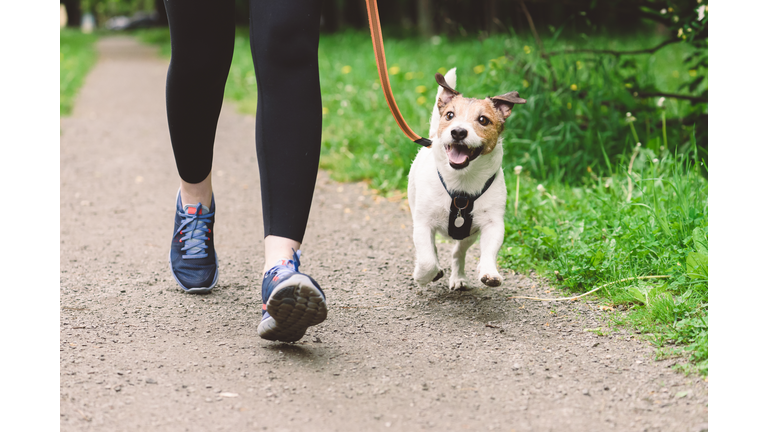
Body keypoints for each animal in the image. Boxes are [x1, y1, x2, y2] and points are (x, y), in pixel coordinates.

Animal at [408, 68, 528, 290]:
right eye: (450, 115)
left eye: (483, 120)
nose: (458, 131)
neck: (461, 183)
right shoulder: (422, 223)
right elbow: (427, 259)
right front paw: (423, 275)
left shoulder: (493, 223)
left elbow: (489, 250)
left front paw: (489, 272)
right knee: (432, 250)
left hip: (468, 235)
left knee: (458, 252)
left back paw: (459, 277)